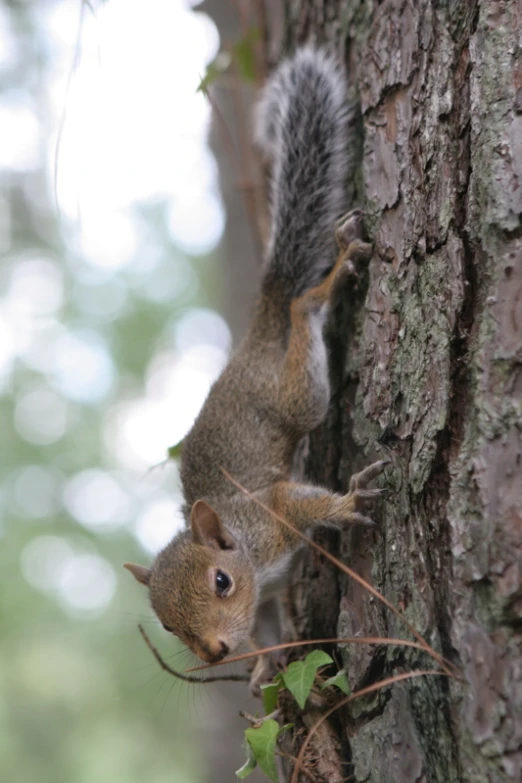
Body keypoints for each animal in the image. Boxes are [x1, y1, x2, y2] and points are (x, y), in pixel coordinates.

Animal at [125, 46, 386, 692]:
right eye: (167, 625)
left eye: (221, 581)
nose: (218, 651)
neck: (245, 551)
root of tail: (256, 332)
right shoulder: (265, 599)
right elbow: (266, 625)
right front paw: (268, 660)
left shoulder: (270, 515)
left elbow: (301, 502)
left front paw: (347, 503)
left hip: (295, 394)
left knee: (300, 314)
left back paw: (323, 286)